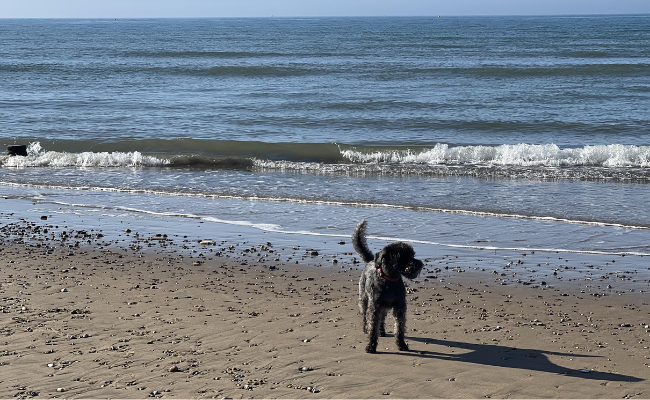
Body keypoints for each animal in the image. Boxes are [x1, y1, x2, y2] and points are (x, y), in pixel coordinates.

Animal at [352, 219, 422, 354]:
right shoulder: (375, 307)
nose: (420, 264)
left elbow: (399, 328)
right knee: (365, 315)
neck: (390, 280)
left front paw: (402, 344)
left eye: (412, 255)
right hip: (364, 299)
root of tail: (371, 261)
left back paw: (382, 331)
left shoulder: (399, 307)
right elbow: (373, 327)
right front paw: (371, 346)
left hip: (383, 307)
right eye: (402, 256)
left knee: (382, 318)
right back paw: (365, 328)